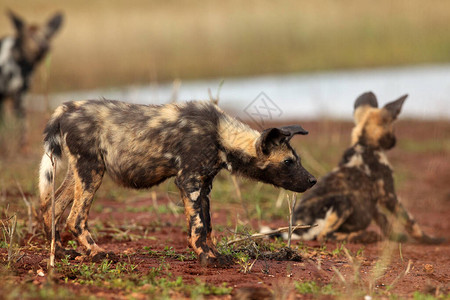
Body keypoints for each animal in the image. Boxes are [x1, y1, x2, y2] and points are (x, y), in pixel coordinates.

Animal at [40, 99, 318, 264]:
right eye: (288, 162)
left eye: (297, 160)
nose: (313, 180)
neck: (221, 135)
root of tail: (66, 108)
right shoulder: (189, 182)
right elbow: (197, 227)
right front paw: (207, 257)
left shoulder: (204, 187)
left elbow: (208, 226)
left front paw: (214, 253)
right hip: (92, 173)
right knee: (75, 218)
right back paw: (98, 253)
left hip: (79, 173)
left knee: (50, 208)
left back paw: (61, 251)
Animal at [292, 91, 442, 244]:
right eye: (393, 127)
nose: (394, 141)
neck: (364, 144)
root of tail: (298, 231)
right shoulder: (389, 195)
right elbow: (410, 222)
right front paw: (431, 240)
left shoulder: (373, 202)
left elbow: (384, 221)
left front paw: (397, 237)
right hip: (343, 202)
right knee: (324, 235)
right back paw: (365, 236)